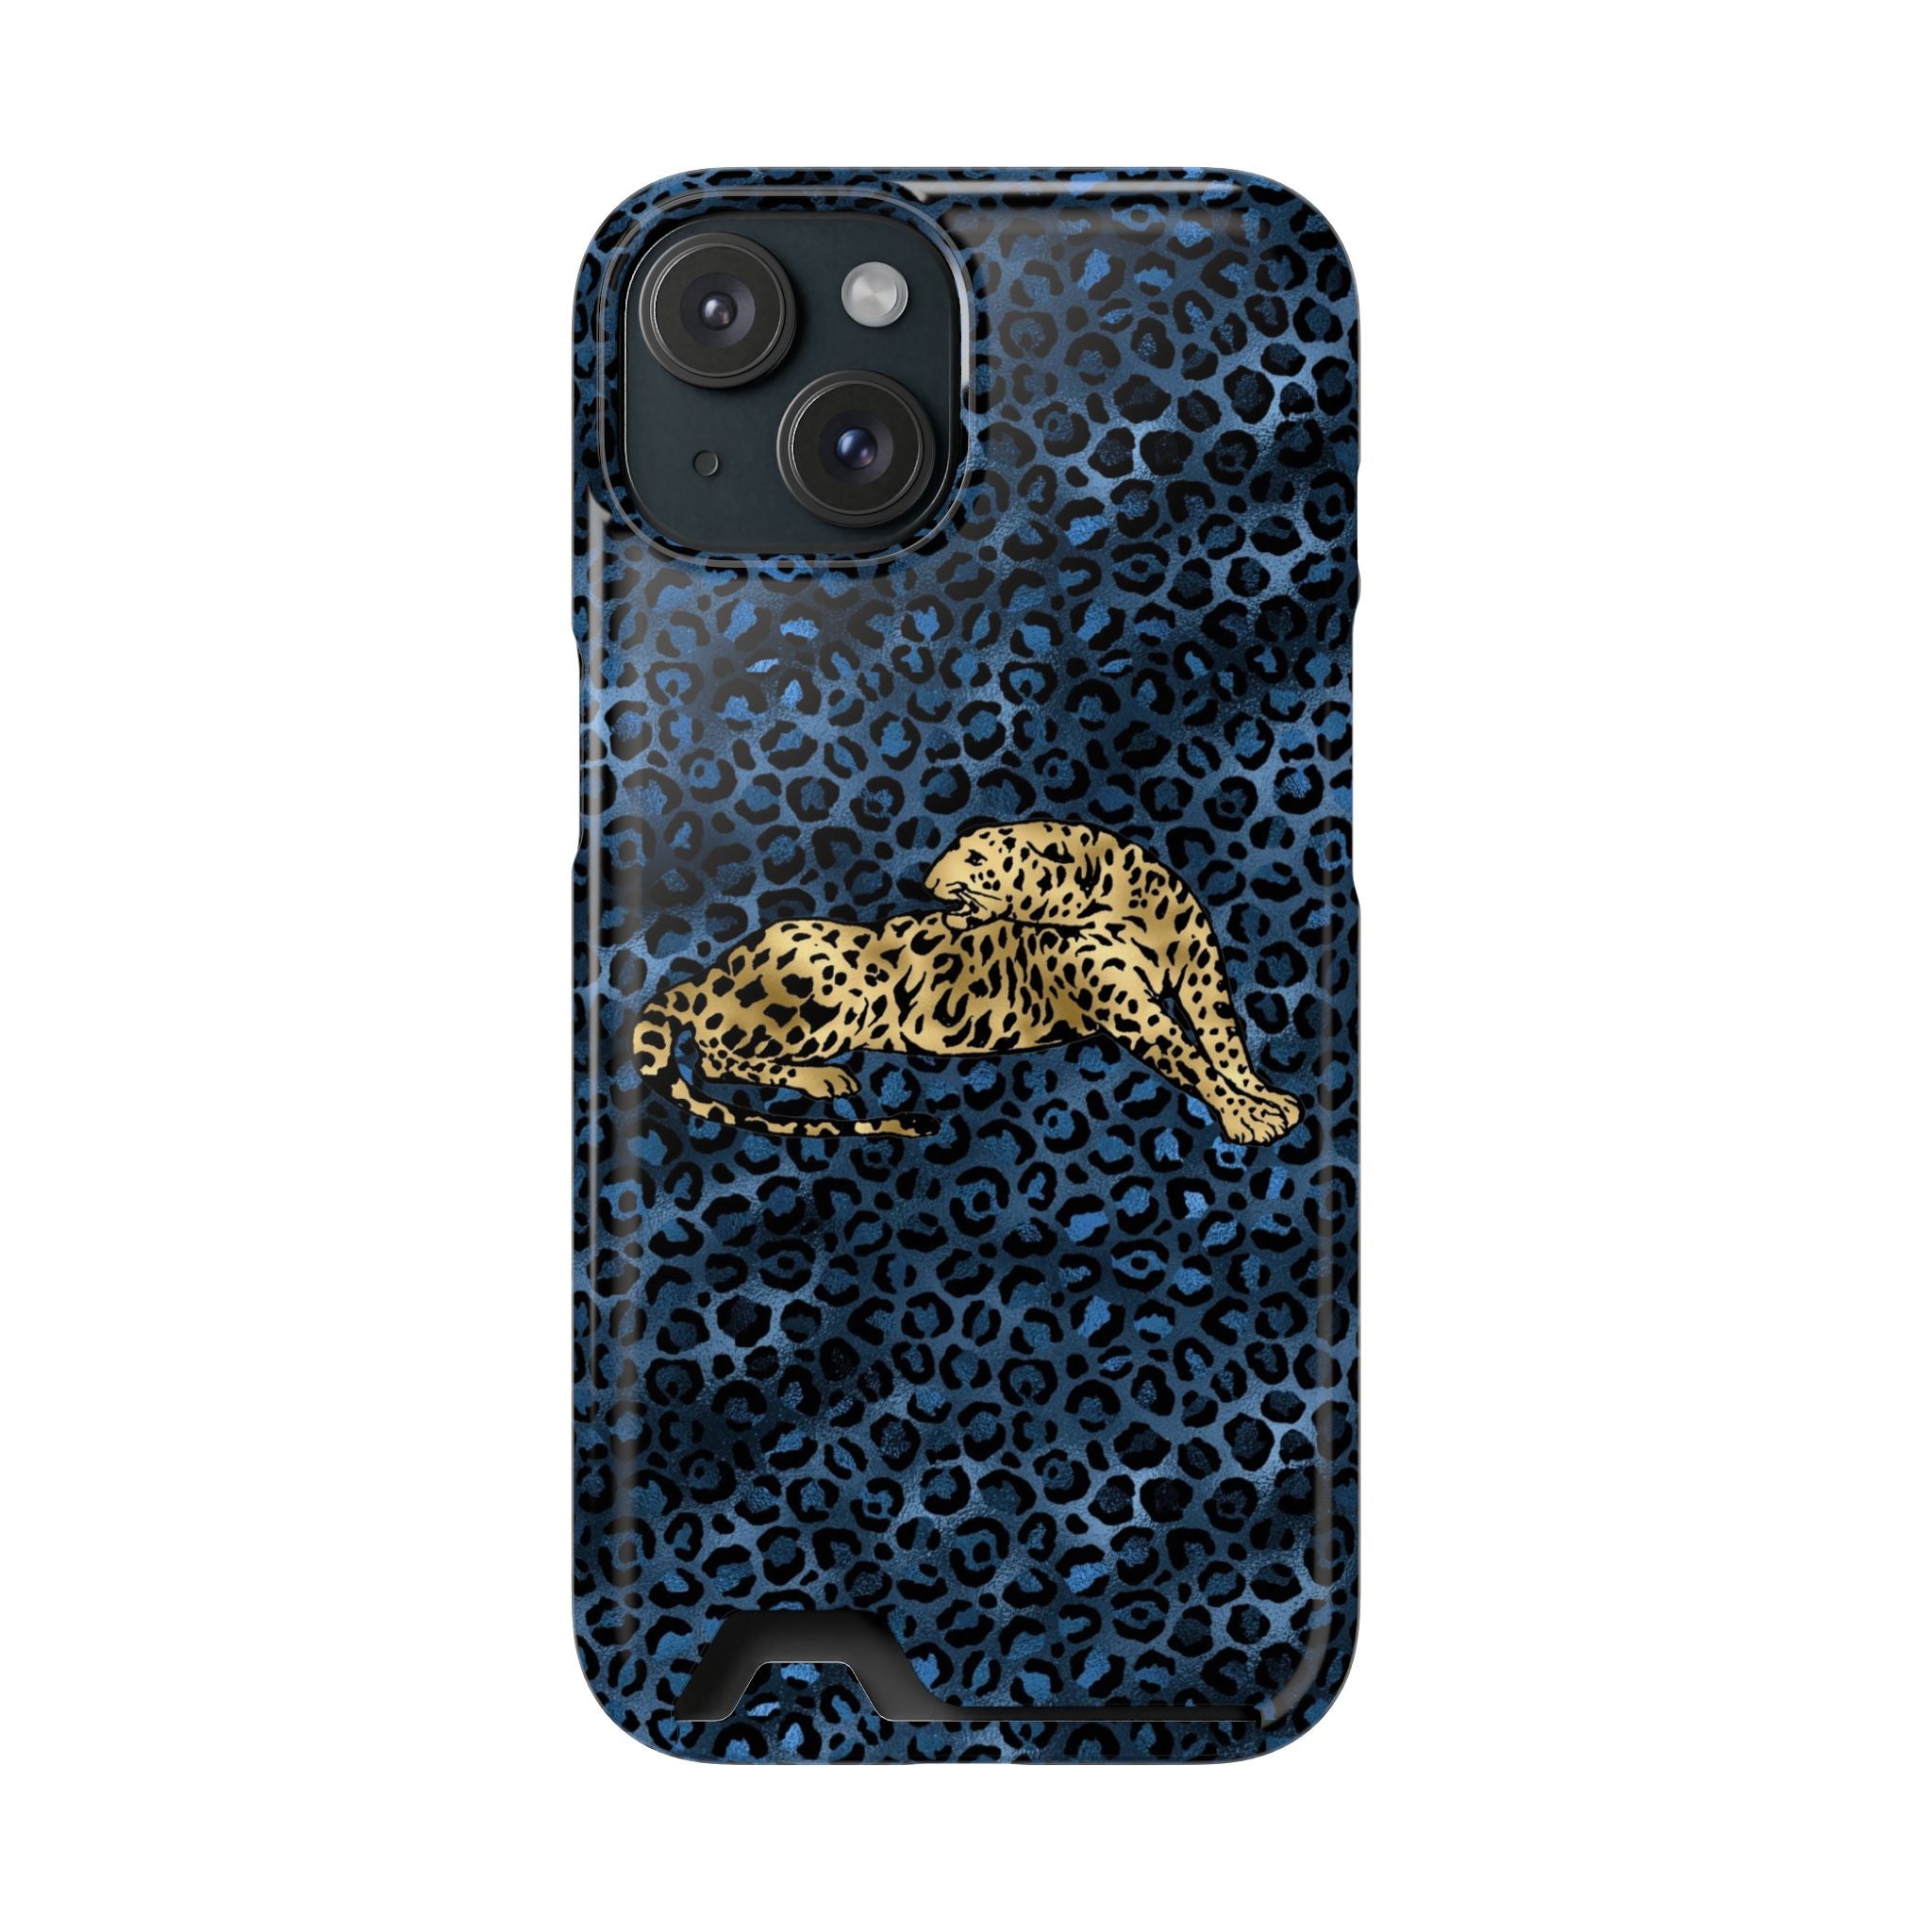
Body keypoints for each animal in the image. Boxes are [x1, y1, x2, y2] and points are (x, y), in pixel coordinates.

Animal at [632, 821, 1303, 1143]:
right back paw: (824, 1078)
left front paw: (1263, 1096)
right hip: (838, 992)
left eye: (978, 859)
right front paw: (1245, 1118)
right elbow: (1186, 1055)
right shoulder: (1127, 1003)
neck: (1121, 902)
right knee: (716, 1055)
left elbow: (1224, 1041)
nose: (927, 881)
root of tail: (716, 969)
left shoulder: (1201, 973)